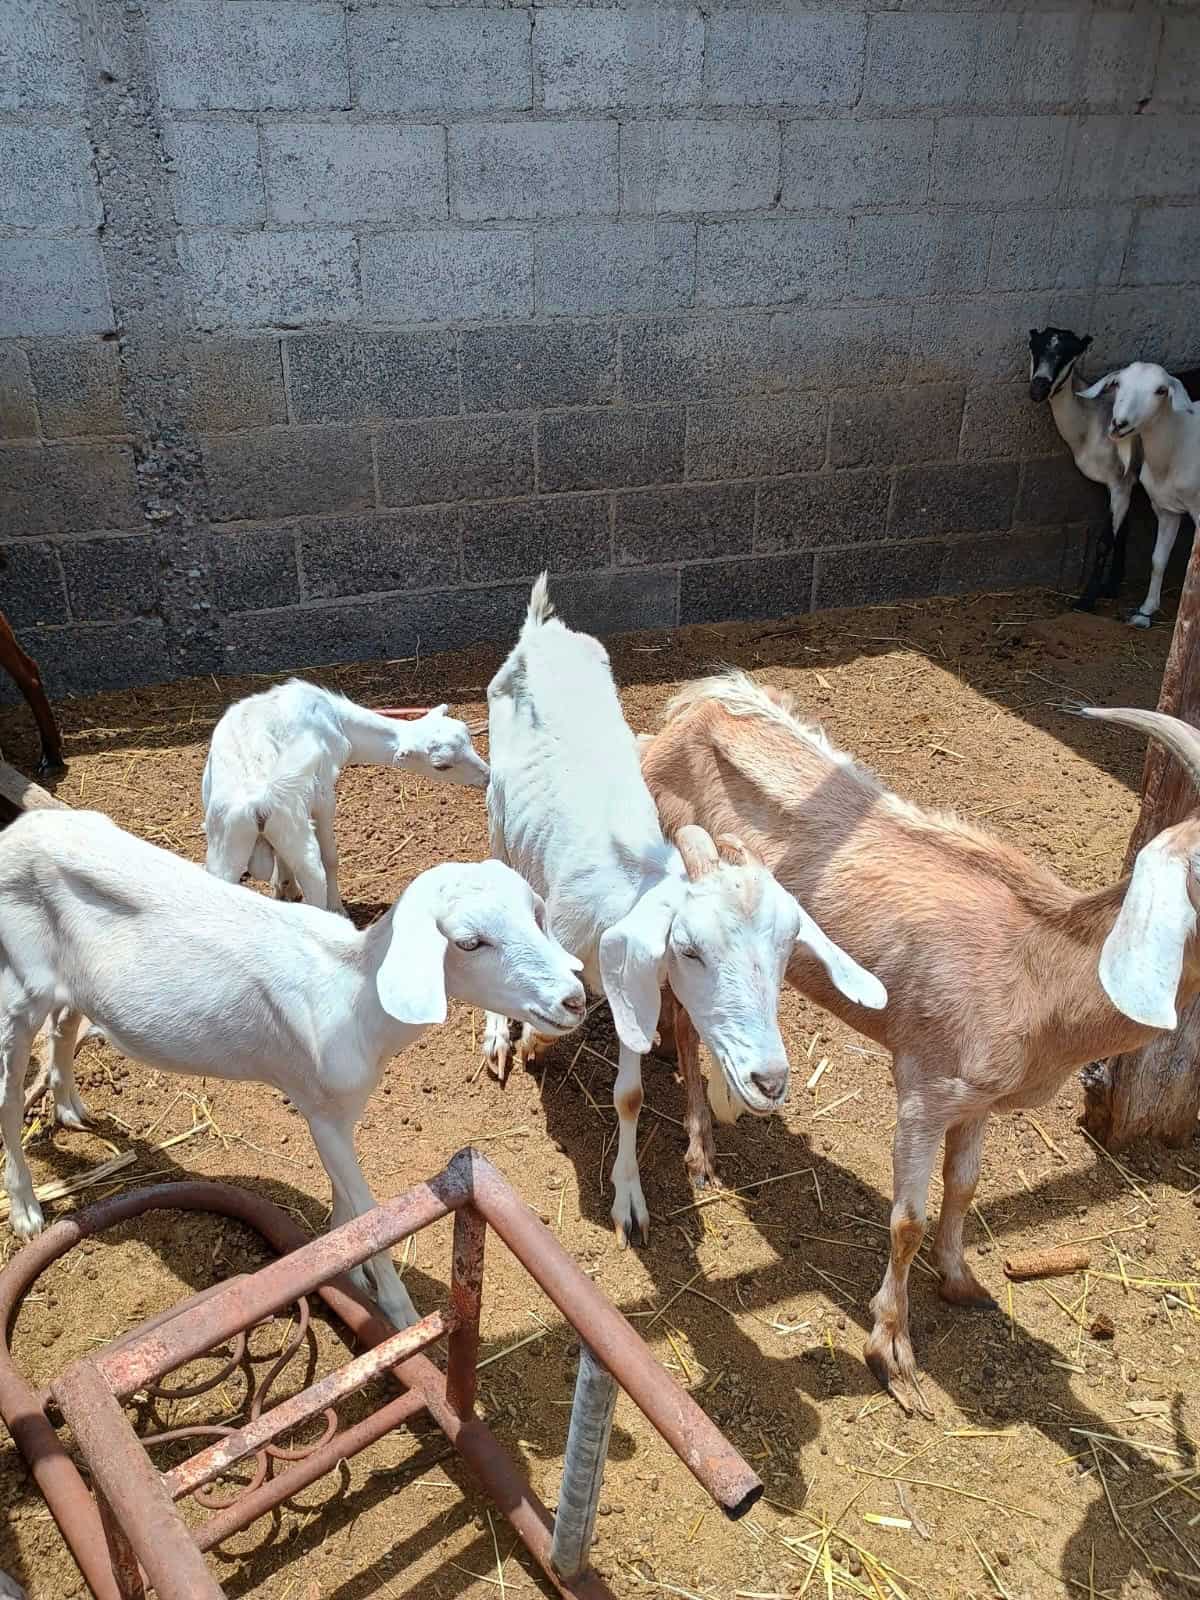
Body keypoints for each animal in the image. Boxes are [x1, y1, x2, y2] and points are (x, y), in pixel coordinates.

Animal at [0, 809, 585, 1327]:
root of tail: (19, 830)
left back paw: (69, 1105)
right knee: (8, 1097)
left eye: (536, 915)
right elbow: (369, 1213)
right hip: (15, 992)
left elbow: (346, 1200)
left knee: (64, 1025)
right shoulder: (321, 1111)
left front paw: (343, 1265)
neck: (357, 994)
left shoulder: (342, 1109)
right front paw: (398, 1312)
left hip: (71, 986)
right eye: (469, 942)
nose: (574, 999)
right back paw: (27, 1210)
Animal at [202, 679, 489, 913]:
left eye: (467, 737)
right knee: (315, 873)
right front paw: (337, 906)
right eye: (441, 766)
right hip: (295, 831)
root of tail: (257, 803)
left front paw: (285, 888)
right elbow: (331, 856)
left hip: (227, 843)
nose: (487, 776)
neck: (338, 720)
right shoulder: (324, 795)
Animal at [481, 576, 886, 1246]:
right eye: (690, 949)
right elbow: (549, 1011)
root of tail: (542, 628)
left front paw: (630, 1201)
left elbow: (629, 1094)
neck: (630, 888)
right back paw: (497, 1034)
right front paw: (532, 1042)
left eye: (786, 952)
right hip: (495, 806)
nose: (770, 1081)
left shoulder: (633, 985)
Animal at [641, 672, 1200, 1416]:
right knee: (683, 1017)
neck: (1038, 969)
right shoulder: (924, 1088)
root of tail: (693, 703)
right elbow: (907, 1218)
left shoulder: (979, 1098)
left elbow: (964, 1186)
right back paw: (700, 1149)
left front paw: (962, 1283)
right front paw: (894, 1356)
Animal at [1079, 362, 1200, 629]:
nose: (1118, 424)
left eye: (1161, 390)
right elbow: (1158, 560)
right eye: (1118, 383)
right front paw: (1145, 612)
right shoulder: (1166, 509)